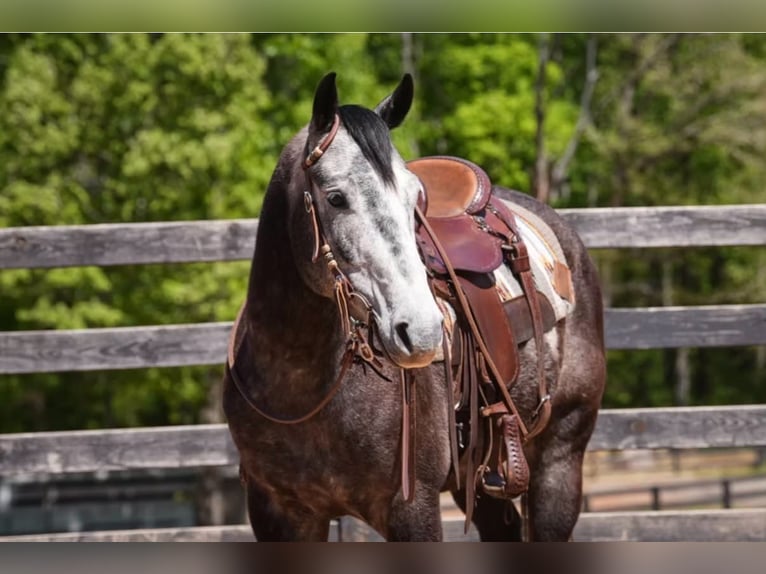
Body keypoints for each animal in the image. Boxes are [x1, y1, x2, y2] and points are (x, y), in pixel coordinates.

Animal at [222, 72, 606, 542]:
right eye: (335, 198)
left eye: (415, 200)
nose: (421, 331)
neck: (302, 385)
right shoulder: (276, 511)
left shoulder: (412, 507)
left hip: (559, 459)